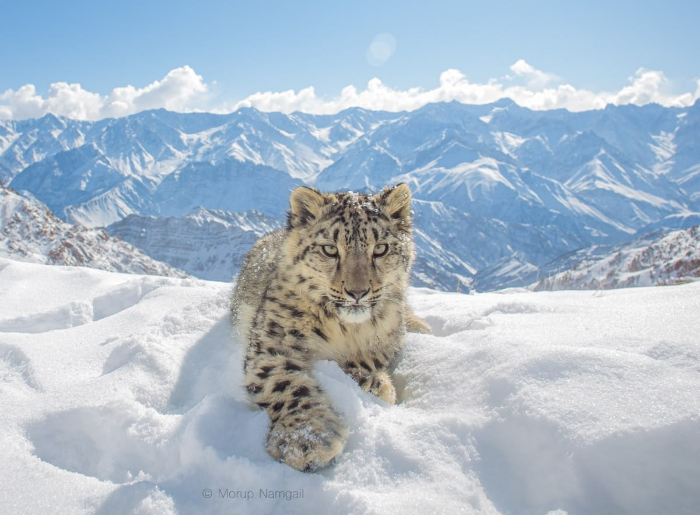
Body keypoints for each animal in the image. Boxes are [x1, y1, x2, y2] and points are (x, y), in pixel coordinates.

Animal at [230, 183, 431, 472]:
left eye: (381, 248)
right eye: (330, 249)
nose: (357, 292)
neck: (345, 329)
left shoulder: (388, 339)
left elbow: (367, 360)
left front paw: (374, 383)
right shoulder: (273, 343)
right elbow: (286, 384)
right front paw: (305, 440)